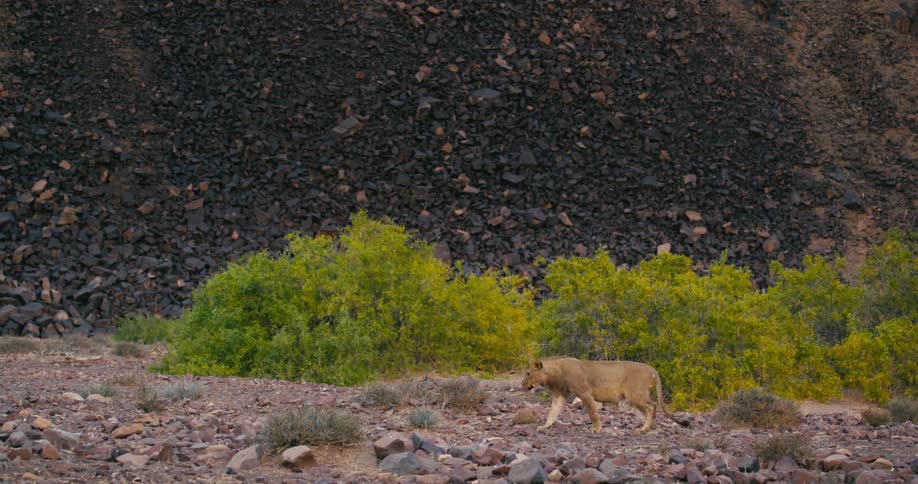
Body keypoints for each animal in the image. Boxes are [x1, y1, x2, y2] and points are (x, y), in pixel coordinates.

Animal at [521, 356, 672, 433]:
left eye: (528, 373)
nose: (522, 384)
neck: (555, 372)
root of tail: (649, 367)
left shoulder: (585, 392)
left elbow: (592, 413)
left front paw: (597, 429)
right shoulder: (560, 394)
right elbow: (552, 412)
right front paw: (545, 426)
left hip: (635, 394)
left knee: (652, 406)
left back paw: (644, 428)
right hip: (635, 397)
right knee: (650, 408)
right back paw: (646, 427)